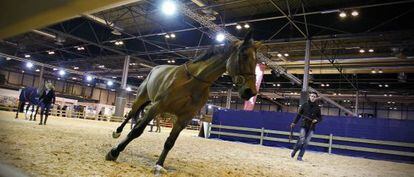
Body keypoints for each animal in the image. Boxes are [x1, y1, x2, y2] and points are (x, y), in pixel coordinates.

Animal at [105, 31, 260, 173]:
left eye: (256, 61)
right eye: (244, 55)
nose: (250, 92)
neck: (193, 82)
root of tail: (154, 69)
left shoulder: (184, 118)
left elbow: (169, 142)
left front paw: (159, 165)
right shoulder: (157, 107)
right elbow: (136, 131)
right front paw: (114, 152)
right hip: (141, 99)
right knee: (131, 114)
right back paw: (117, 132)